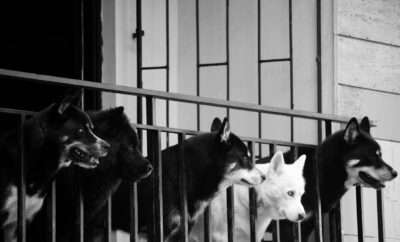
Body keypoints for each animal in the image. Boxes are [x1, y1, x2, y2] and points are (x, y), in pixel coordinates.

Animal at [266, 116, 396, 240]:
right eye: (373, 156)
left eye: (380, 155)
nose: (396, 173)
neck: (320, 170)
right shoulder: (286, 226)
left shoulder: (307, 225)